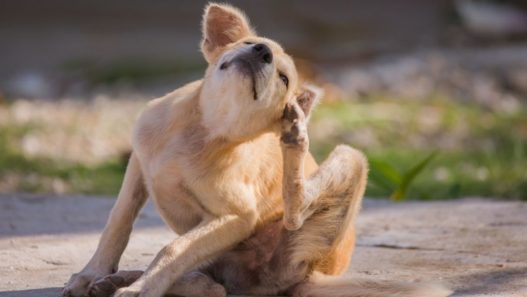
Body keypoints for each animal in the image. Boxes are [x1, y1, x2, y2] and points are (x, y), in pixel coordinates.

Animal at [60, 2, 450, 296]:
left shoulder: (236, 216)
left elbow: (174, 248)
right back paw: (122, 279)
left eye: (284, 78)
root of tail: (314, 276)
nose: (260, 51)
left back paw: (295, 138)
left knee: (285, 220)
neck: (203, 130)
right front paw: (92, 273)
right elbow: (118, 223)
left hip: (343, 170)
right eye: (251, 42)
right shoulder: (138, 165)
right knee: (209, 281)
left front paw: (141, 289)